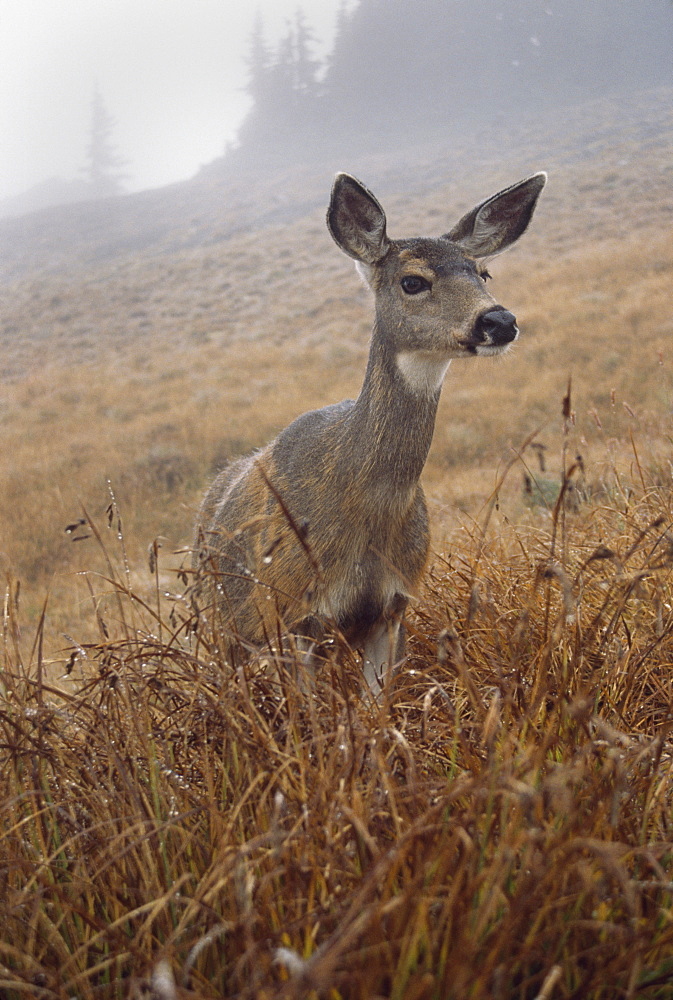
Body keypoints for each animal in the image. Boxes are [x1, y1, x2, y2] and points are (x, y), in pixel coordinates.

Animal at [193, 168, 544, 692]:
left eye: (483, 273)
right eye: (412, 281)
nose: (499, 320)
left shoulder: (393, 605)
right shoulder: (291, 609)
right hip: (220, 626)